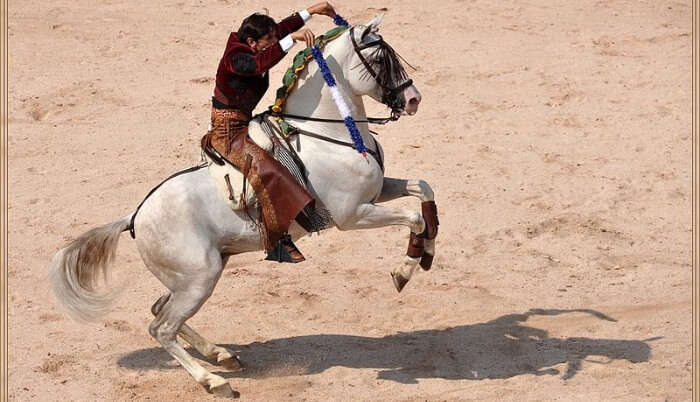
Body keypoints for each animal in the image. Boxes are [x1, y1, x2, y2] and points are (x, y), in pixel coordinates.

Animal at [50, 15, 438, 396]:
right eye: (380, 60)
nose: (414, 99)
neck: (328, 134)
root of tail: (135, 216)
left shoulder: (377, 192)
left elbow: (423, 190)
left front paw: (429, 252)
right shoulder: (353, 214)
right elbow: (412, 218)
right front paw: (404, 272)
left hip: (192, 276)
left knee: (161, 310)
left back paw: (221, 355)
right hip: (200, 277)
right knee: (161, 327)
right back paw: (214, 381)